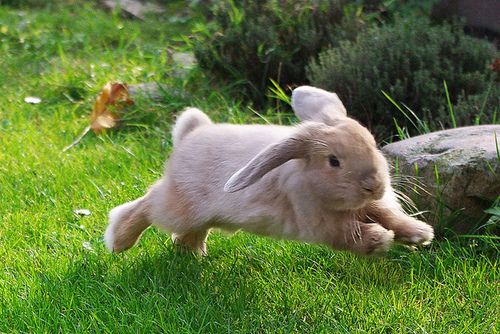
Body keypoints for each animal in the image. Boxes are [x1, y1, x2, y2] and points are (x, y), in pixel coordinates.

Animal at [104, 86, 434, 256]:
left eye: (372, 142)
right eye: (334, 161)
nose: (374, 185)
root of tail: (189, 135)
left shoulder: (370, 207)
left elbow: (388, 214)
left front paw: (420, 234)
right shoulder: (322, 226)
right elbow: (351, 237)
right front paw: (381, 240)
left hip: (198, 218)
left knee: (188, 234)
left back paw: (192, 256)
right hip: (177, 206)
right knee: (145, 207)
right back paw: (118, 242)